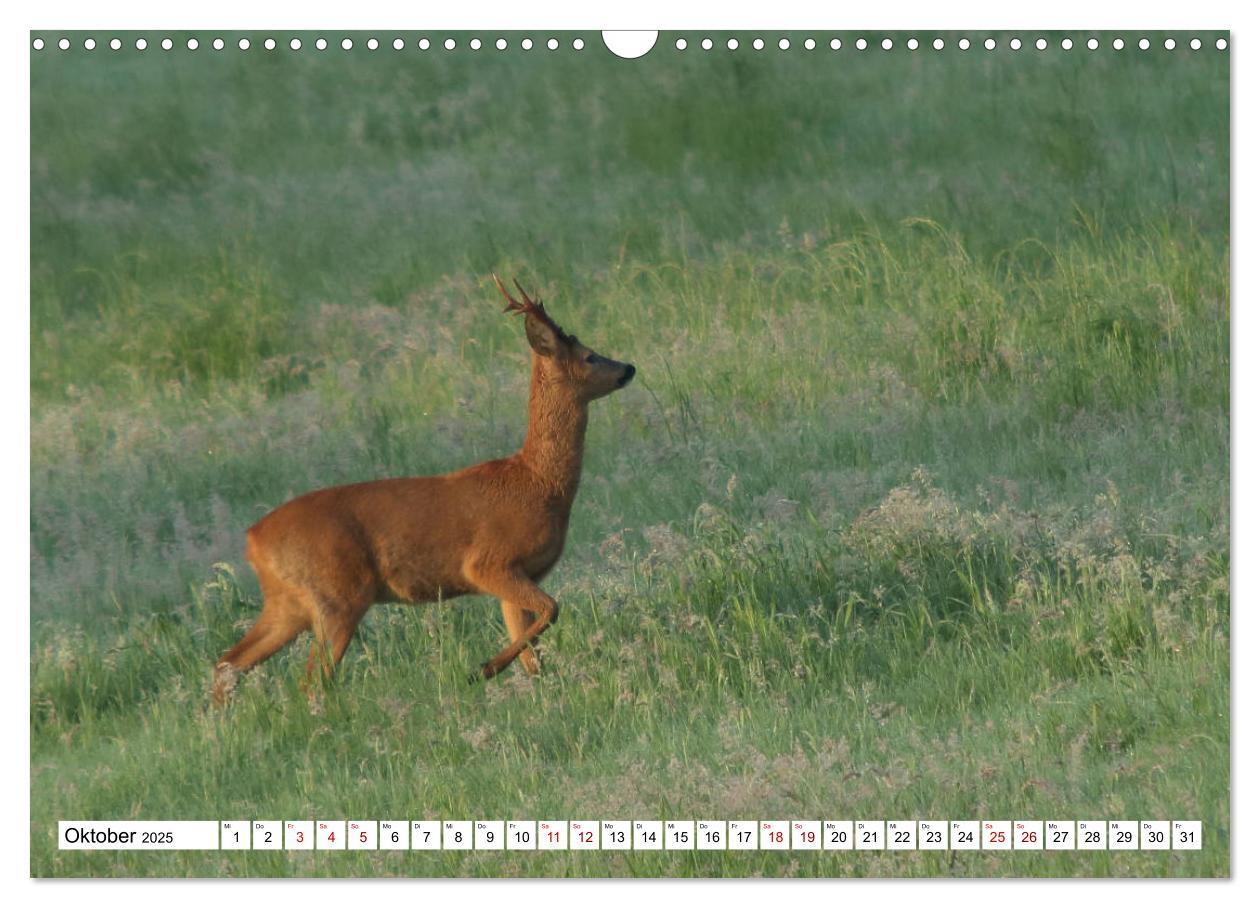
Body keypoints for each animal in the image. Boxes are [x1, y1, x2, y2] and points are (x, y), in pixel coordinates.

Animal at [212, 273, 640, 705]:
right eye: (589, 356)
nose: (629, 367)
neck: (539, 483)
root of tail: (253, 541)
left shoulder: (518, 575)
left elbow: (533, 653)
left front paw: (533, 688)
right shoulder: (489, 562)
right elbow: (552, 610)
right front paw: (483, 669)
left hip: (288, 603)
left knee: (229, 661)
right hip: (336, 596)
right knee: (311, 680)